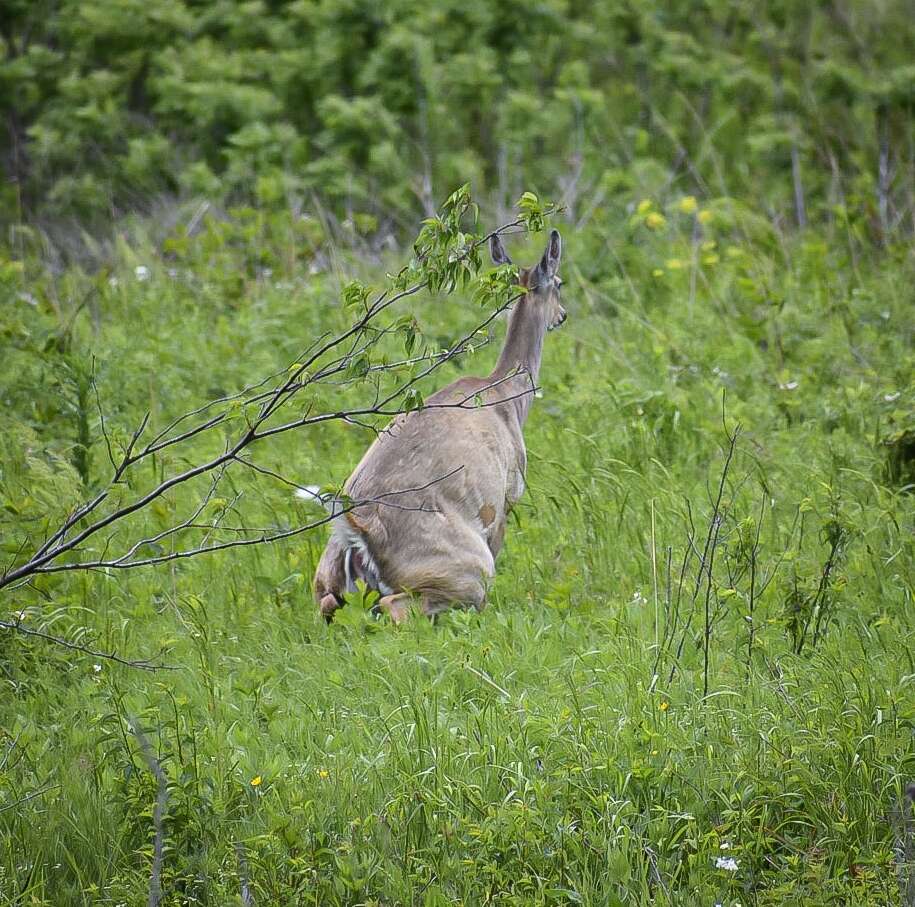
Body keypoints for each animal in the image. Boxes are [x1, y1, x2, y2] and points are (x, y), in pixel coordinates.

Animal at [312, 227, 560, 624]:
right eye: (560, 283)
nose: (562, 315)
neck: (507, 398)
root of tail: (359, 529)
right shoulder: (505, 499)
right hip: (465, 569)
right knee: (400, 607)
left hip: (326, 578)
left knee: (329, 603)